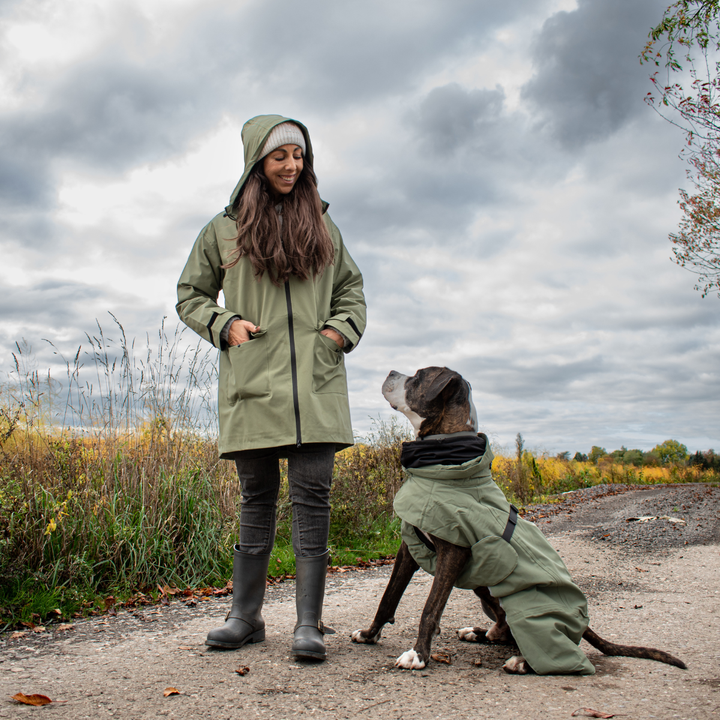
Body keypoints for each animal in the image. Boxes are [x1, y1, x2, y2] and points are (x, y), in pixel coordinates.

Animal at [352, 366, 688, 676]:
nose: (391, 371)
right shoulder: (410, 547)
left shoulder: (454, 551)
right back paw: (479, 633)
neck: (446, 461)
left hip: (519, 598)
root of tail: (583, 623)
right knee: (503, 630)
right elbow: (388, 597)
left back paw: (524, 660)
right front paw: (369, 635)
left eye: (419, 376)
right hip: (485, 591)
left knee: (554, 645)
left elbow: (430, 608)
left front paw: (418, 654)